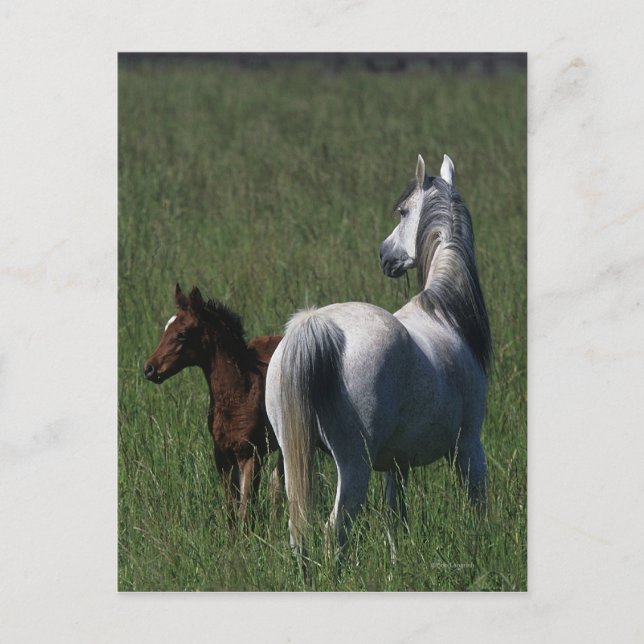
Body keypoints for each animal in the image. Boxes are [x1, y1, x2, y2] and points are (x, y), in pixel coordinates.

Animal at [144, 284, 283, 526]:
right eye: (165, 329)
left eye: (181, 334)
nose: (149, 369)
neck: (240, 393)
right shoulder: (223, 458)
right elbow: (231, 512)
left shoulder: (251, 456)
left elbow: (245, 511)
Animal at [265, 153, 491, 564]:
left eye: (402, 212)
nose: (384, 255)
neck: (445, 313)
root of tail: (316, 325)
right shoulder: (469, 448)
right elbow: (478, 507)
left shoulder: (395, 464)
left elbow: (394, 521)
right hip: (354, 466)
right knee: (333, 532)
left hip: (294, 457)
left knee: (298, 531)